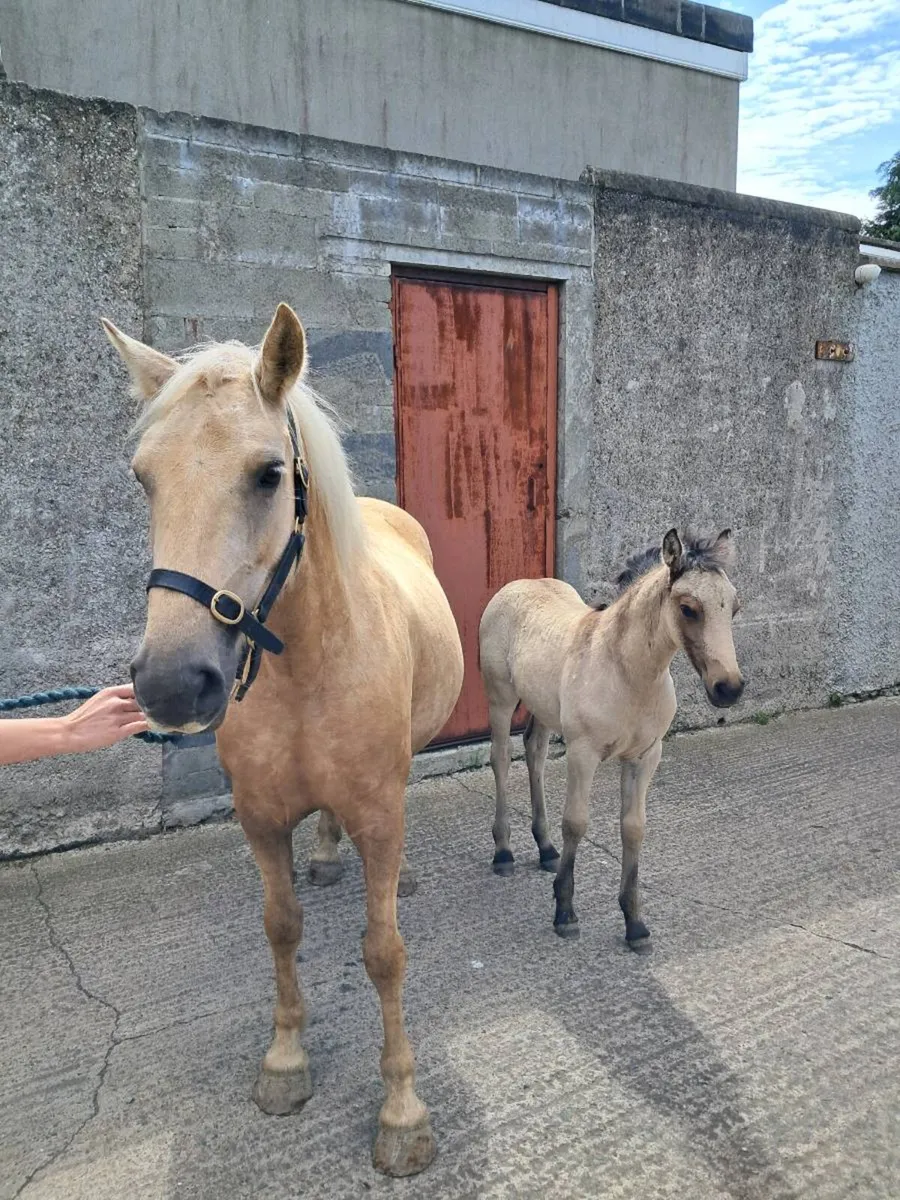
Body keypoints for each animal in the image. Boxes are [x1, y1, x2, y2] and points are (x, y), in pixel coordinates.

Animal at [103, 303, 464, 1177]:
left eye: (269, 473)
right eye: (144, 477)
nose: (172, 683)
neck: (309, 669)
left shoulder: (380, 815)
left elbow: (383, 953)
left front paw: (402, 1114)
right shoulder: (261, 822)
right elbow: (282, 927)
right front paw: (285, 1062)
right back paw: (329, 857)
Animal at [479, 529, 743, 948]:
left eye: (733, 607)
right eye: (688, 608)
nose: (729, 689)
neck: (628, 674)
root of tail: (517, 584)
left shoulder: (645, 756)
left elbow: (633, 829)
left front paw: (634, 923)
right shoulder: (583, 753)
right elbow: (576, 823)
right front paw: (565, 912)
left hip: (542, 707)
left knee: (534, 752)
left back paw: (546, 849)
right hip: (500, 698)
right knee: (501, 759)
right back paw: (503, 852)